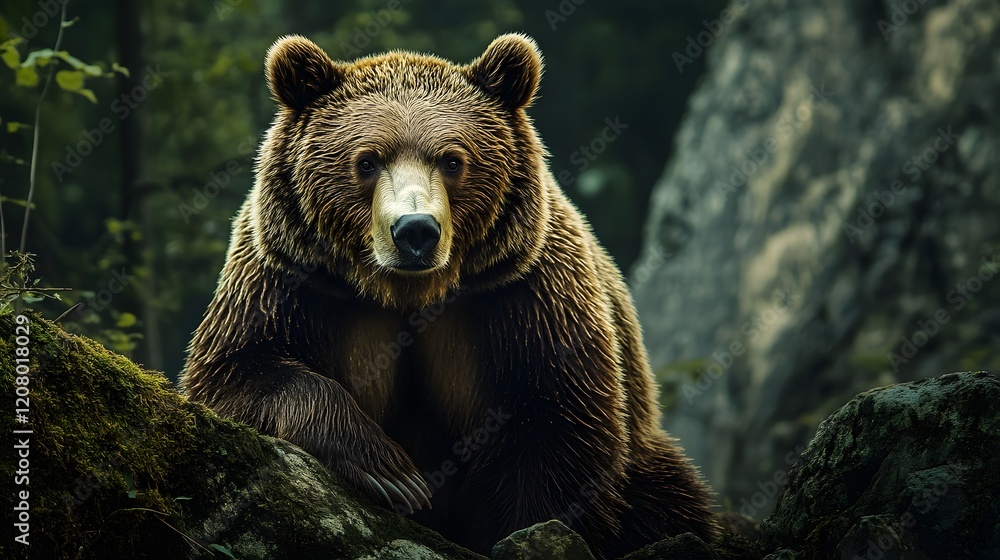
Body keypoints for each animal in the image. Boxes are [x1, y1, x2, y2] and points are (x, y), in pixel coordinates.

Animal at [181, 33, 718, 557]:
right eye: (367, 161)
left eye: (453, 159)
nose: (415, 230)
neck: (410, 292)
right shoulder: (292, 282)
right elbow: (236, 371)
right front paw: (389, 470)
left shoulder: (526, 295)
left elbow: (559, 425)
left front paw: (531, 533)